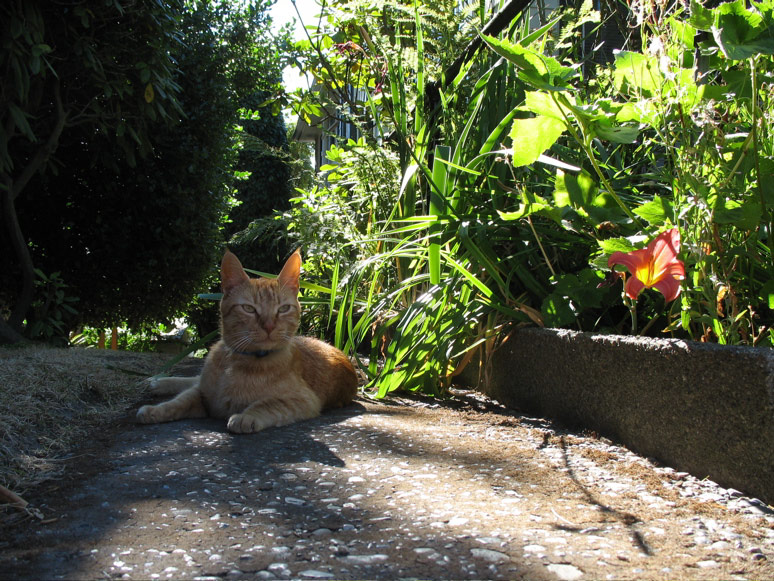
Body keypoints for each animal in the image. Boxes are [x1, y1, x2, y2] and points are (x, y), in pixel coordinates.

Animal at [137, 247, 360, 432]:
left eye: (283, 309)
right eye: (249, 309)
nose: (269, 326)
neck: (240, 362)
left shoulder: (304, 400)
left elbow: (268, 403)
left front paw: (246, 417)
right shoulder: (205, 395)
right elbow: (178, 402)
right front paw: (154, 410)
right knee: (192, 380)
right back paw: (158, 382)